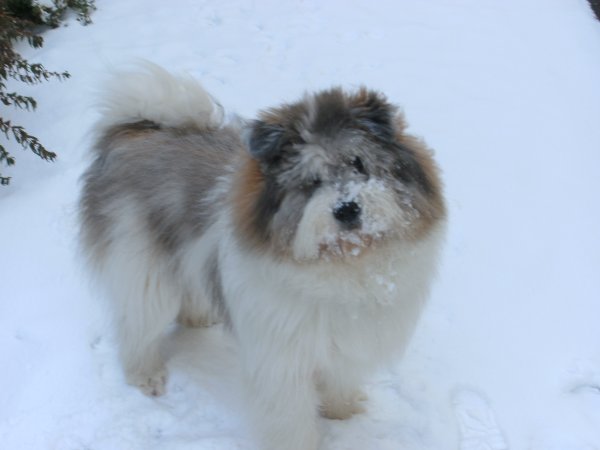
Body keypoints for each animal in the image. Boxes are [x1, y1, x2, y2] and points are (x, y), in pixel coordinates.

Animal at [78, 63, 446, 450]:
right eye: (311, 181)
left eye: (358, 163)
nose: (347, 209)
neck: (346, 263)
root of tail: (138, 129)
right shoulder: (281, 361)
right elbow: (290, 418)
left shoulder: (343, 344)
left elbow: (339, 381)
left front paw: (343, 412)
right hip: (142, 267)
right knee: (137, 325)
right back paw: (145, 374)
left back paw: (197, 317)